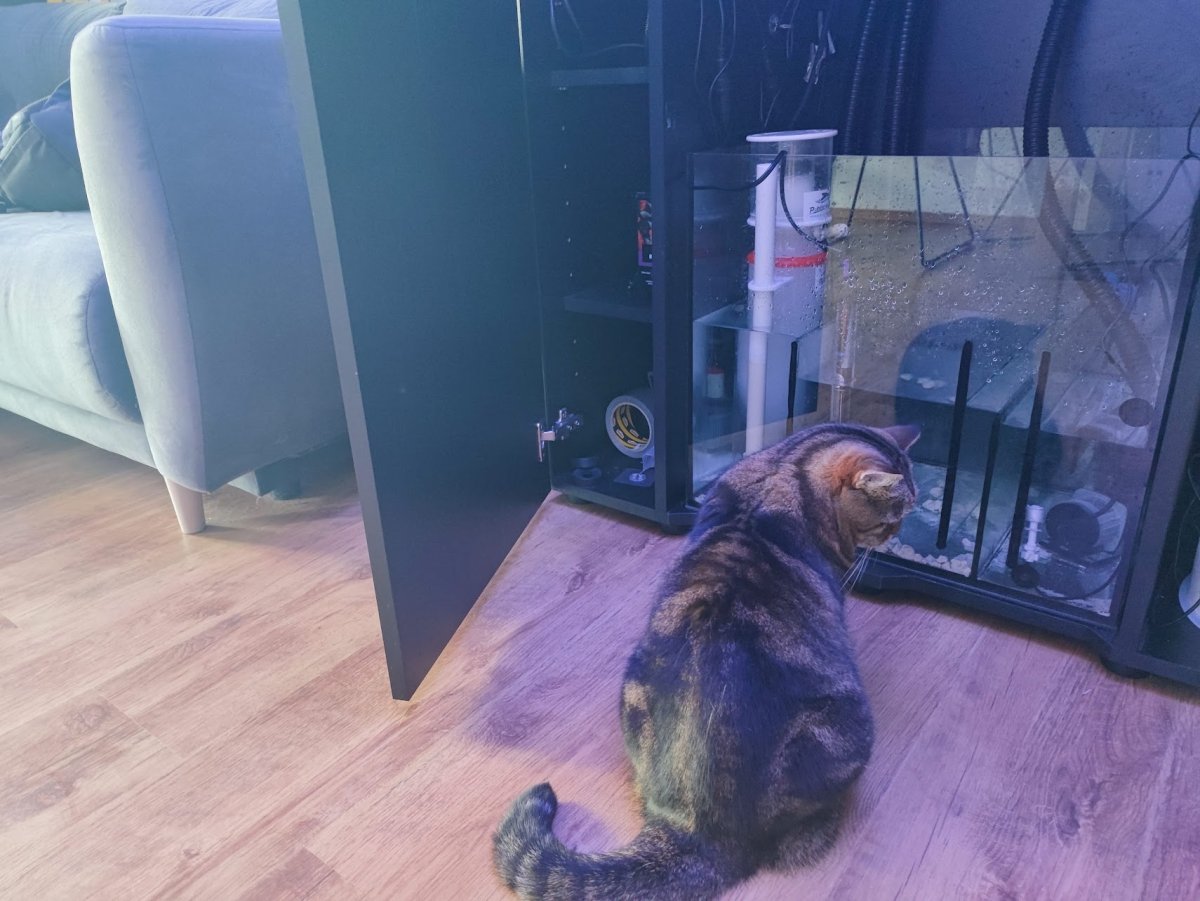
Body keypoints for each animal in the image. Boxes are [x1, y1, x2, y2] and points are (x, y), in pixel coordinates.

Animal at [494, 424, 916, 901]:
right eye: (891, 517)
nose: (897, 533)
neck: (788, 464)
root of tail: (699, 831)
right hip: (850, 726)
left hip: (631, 688)